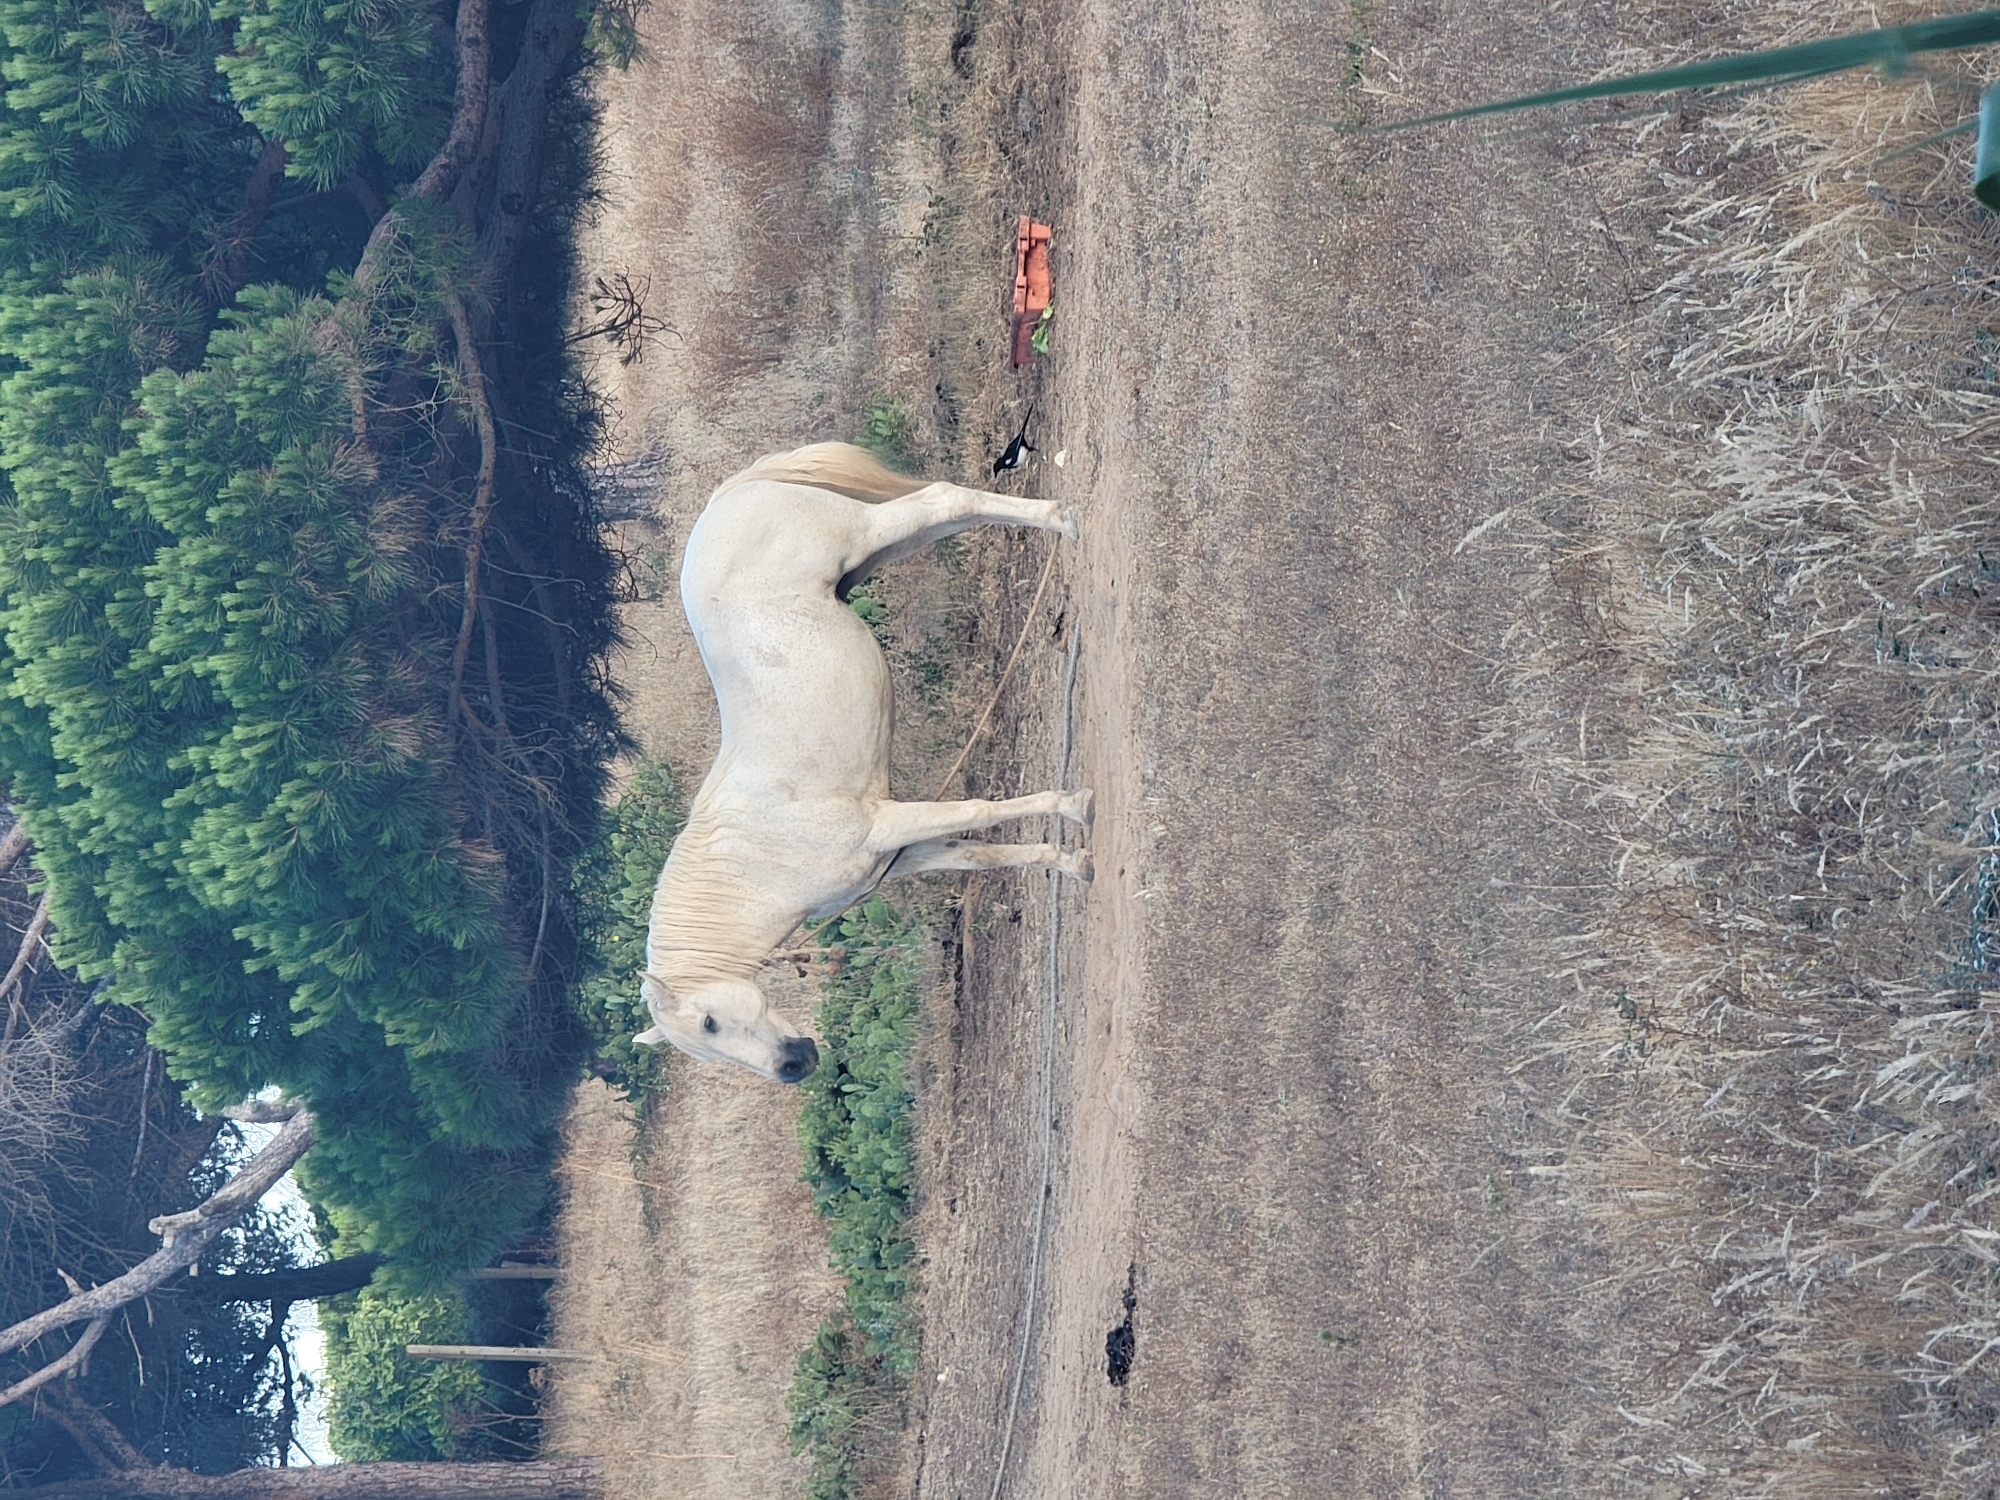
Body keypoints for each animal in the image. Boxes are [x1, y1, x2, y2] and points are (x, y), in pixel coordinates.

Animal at [633, 442, 1093, 1083]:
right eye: (707, 1041)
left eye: (709, 1022)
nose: (795, 1065)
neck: (760, 857)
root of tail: (729, 496)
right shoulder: (900, 853)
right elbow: (981, 854)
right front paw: (1069, 862)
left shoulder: (888, 821)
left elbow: (981, 809)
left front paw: (1076, 806)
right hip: (882, 551)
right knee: (950, 513)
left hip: (864, 535)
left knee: (943, 500)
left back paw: (1065, 521)